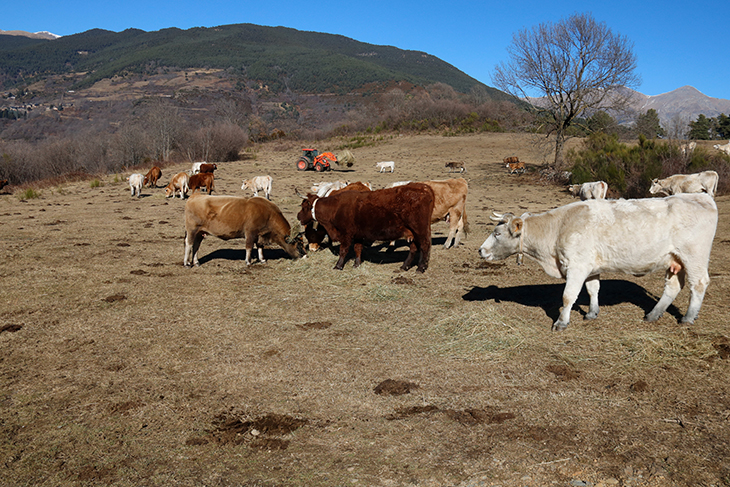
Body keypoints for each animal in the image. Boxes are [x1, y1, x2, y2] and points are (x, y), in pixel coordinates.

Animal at [296, 184, 432, 274]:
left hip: (420, 231)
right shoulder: (358, 235)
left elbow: (343, 250)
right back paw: (404, 266)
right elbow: (357, 249)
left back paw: (420, 268)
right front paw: (356, 264)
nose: (298, 216)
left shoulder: (346, 235)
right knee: (414, 248)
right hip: (413, 233)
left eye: (304, 206)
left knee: (424, 246)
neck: (335, 208)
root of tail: (424, 188)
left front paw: (338, 266)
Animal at [478, 194, 716, 332]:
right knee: (673, 287)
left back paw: (688, 317)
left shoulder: (577, 266)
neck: (558, 228)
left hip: (694, 257)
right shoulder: (590, 267)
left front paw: (561, 322)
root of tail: (701, 197)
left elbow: (568, 296)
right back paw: (653, 315)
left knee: (699, 284)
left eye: (497, 233)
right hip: (675, 261)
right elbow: (593, 289)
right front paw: (592, 313)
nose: (480, 250)